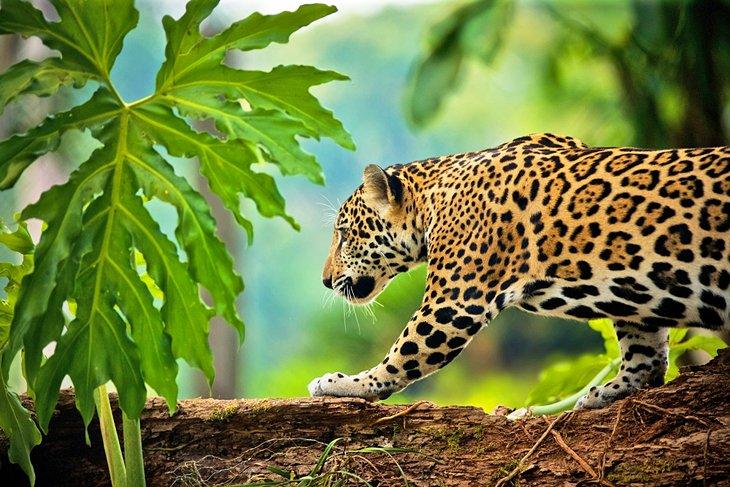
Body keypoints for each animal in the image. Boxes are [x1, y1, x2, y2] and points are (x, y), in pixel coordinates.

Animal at [308, 133, 730, 409]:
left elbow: (403, 355)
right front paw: (616, 389)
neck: (433, 199)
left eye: (344, 234)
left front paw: (345, 384)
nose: (325, 281)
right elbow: (645, 348)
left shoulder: (454, 303)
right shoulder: (634, 298)